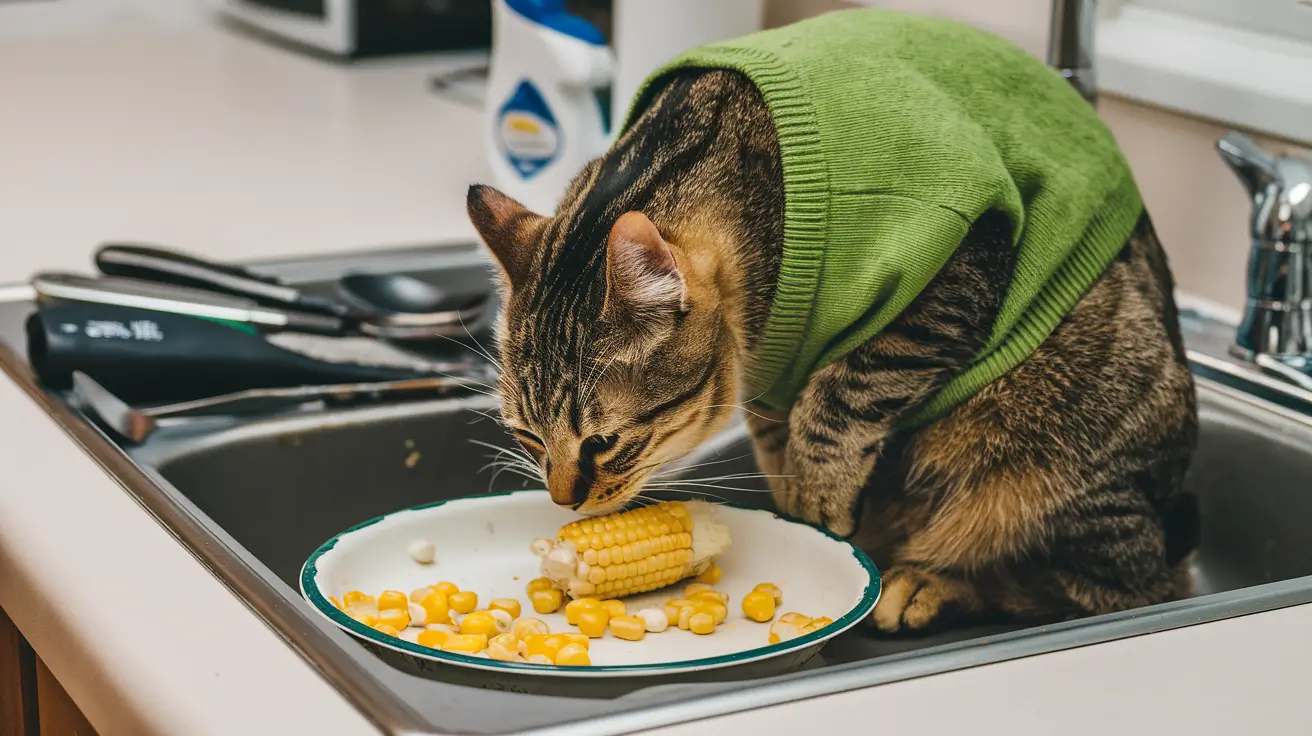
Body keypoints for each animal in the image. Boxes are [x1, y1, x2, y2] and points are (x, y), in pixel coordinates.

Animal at [469, 65, 1201, 632]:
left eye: (604, 442)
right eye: (527, 437)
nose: (564, 503)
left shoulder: (962, 255)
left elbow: (844, 394)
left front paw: (818, 489)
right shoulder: (772, 373)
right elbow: (776, 427)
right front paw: (793, 492)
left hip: (1045, 451)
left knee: (1118, 586)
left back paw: (928, 582)